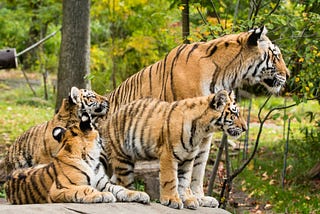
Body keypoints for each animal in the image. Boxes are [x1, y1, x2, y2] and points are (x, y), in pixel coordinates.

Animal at [4, 112, 150, 204]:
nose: (106, 136)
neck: (91, 160)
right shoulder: (59, 189)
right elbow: (86, 189)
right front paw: (102, 195)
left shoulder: (104, 183)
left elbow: (120, 188)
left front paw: (138, 194)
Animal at [102, 90, 245, 209]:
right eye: (235, 114)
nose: (245, 128)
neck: (202, 130)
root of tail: (109, 119)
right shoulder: (168, 154)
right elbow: (170, 179)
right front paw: (172, 200)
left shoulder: (188, 158)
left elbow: (184, 181)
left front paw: (187, 200)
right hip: (123, 158)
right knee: (123, 182)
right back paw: (136, 195)